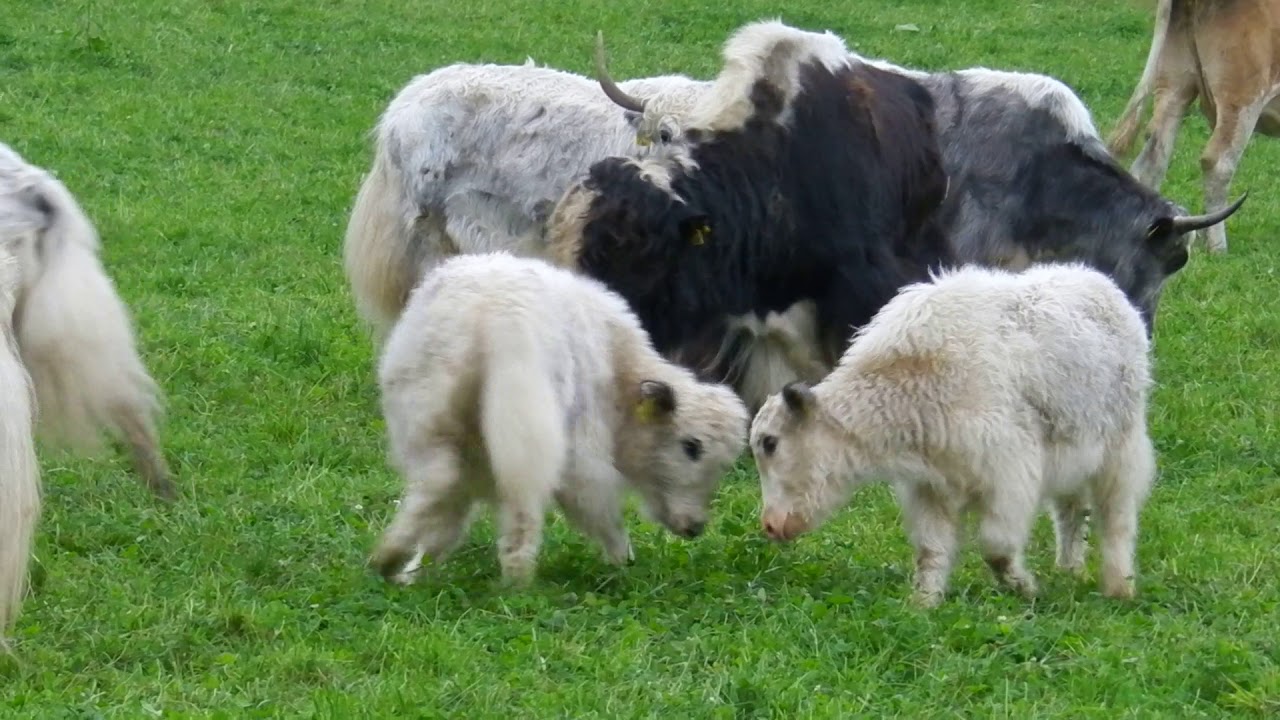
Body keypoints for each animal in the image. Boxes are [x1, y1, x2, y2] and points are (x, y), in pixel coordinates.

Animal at [369, 252, 749, 587]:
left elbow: (446, 522)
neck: (620, 368)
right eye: (691, 446)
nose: (695, 528)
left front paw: (419, 569)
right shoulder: (582, 450)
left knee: (437, 480)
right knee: (521, 507)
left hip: (424, 409)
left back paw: (389, 560)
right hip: (526, 422)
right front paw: (622, 560)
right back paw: (517, 582)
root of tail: (489, 316)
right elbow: (596, 504)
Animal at [751, 262, 1157, 608]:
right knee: (1071, 510)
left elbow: (996, 547)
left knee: (1117, 518)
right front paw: (923, 605)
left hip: (1121, 449)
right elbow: (932, 551)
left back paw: (1119, 586)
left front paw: (1024, 588)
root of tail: (1104, 287)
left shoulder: (1009, 476)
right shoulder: (931, 488)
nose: (770, 525)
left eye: (771, 442)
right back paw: (1070, 569)